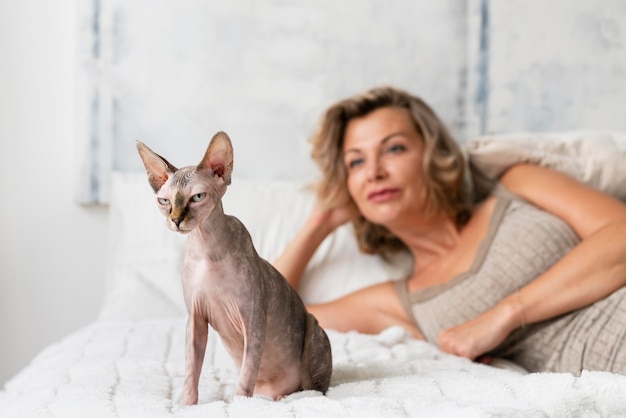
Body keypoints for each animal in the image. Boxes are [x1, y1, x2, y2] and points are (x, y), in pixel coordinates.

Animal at [136, 132, 332, 404]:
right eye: (164, 201)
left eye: (197, 197)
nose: (175, 220)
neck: (207, 250)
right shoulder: (195, 319)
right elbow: (191, 371)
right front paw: (187, 405)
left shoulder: (254, 318)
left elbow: (247, 372)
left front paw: (240, 404)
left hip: (313, 328)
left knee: (315, 388)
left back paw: (286, 398)